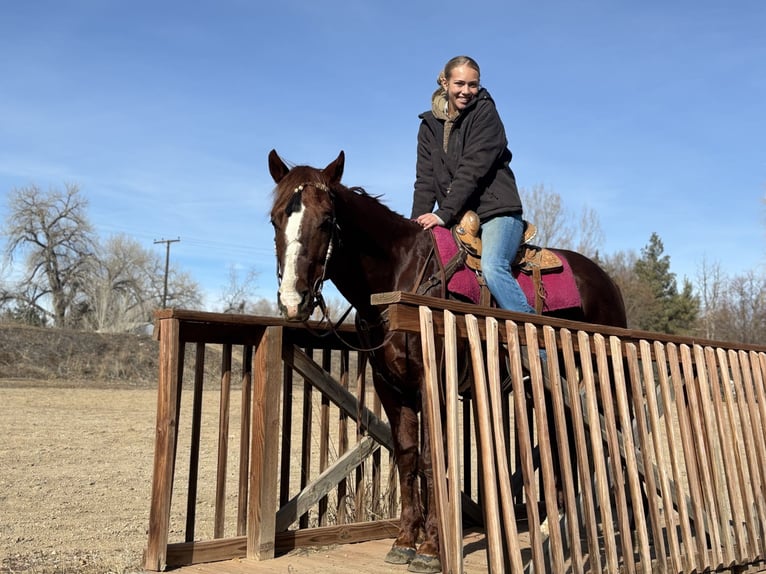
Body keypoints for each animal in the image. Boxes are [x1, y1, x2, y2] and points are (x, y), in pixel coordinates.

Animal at [267, 149, 628, 573]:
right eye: (275, 219)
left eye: (326, 220)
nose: (293, 301)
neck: (400, 278)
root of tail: (607, 282)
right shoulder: (392, 387)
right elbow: (407, 457)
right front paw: (404, 541)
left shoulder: (434, 383)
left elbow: (431, 459)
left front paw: (431, 548)